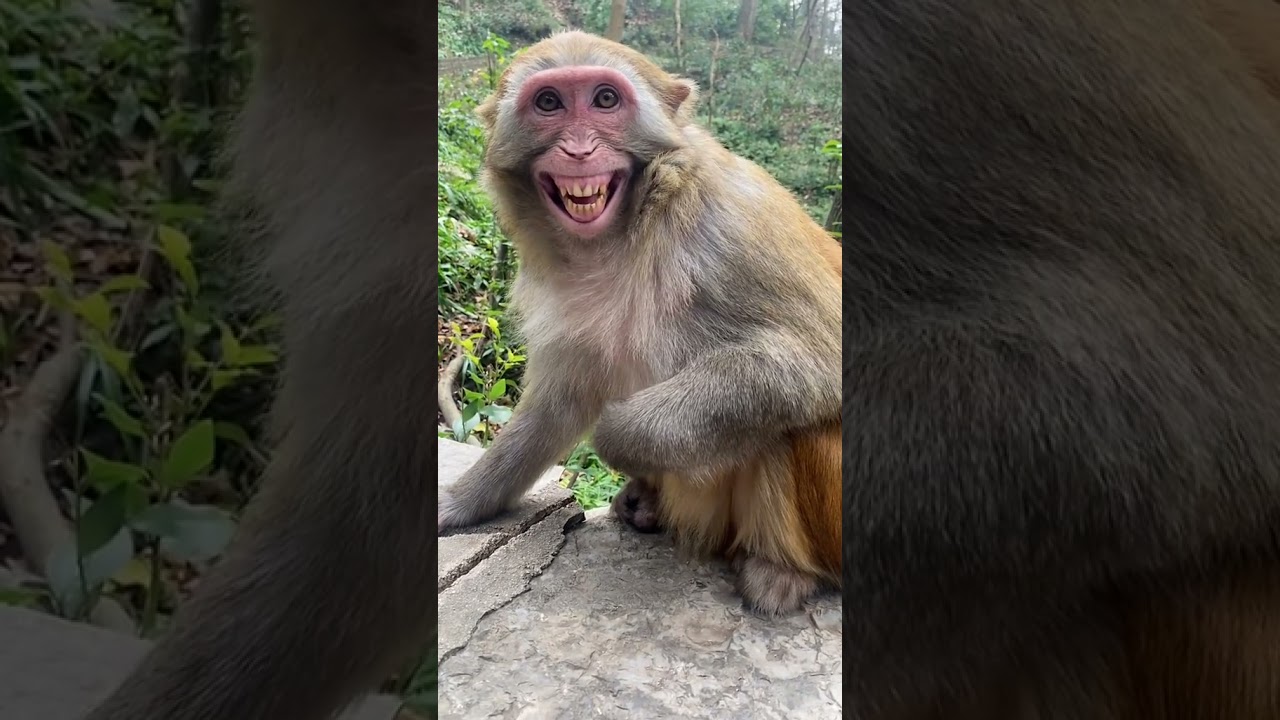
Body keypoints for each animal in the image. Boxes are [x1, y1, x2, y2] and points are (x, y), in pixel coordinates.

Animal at [436, 31, 843, 617]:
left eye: (605, 100)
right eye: (549, 103)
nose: (579, 149)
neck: (624, 233)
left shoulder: (730, 219)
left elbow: (825, 356)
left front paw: (621, 434)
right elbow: (560, 404)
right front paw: (462, 500)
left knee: (787, 417)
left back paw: (782, 573)